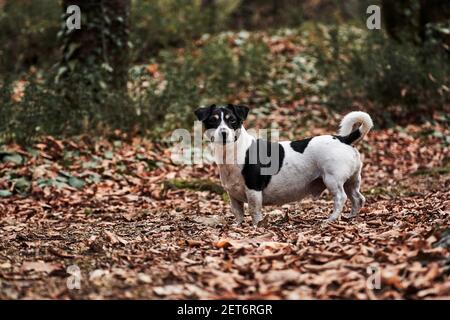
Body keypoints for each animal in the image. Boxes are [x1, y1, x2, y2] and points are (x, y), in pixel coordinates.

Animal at [194, 104, 372, 225]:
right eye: (213, 121)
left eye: (232, 121)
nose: (224, 133)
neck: (233, 151)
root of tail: (344, 139)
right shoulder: (233, 195)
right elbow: (238, 213)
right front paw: (238, 226)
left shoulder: (253, 190)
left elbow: (254, 211)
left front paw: (256, 226)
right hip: (352, 181)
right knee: (358, 198)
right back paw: (351, 217)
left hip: (332, 179)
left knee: (341, 198)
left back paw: (331, 219)